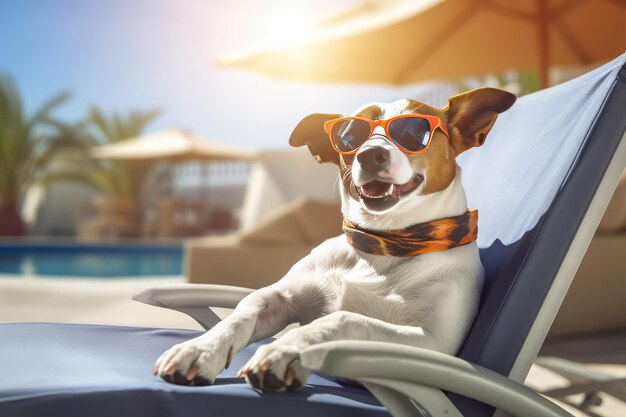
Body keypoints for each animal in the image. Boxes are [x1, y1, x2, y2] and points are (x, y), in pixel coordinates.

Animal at [151, 87, 512, 390]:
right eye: (349, 136)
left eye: (411, 133)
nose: (370, 155)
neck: (380, 246)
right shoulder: (279, 296)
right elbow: (241, 313)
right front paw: (200, 348)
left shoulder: (433, 343)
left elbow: (342, 318)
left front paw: (286, 349)